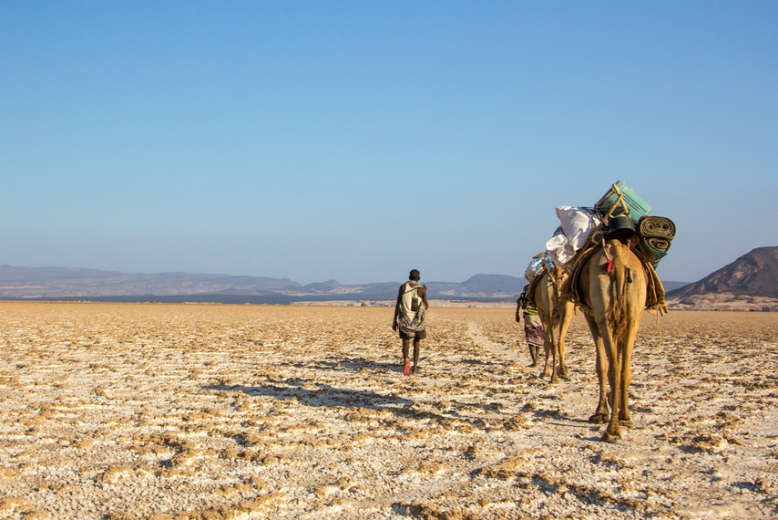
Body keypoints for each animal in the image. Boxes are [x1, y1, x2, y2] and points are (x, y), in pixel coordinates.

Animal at [572, 238, 644, 440]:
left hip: (603, 314)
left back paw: (612, 428)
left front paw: (601, 412)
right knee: (623, 368)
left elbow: (601, 364)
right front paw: (613, 409)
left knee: (612, 367)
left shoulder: (590, 314)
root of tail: (618, 260)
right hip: (632, 316)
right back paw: (622, 420)